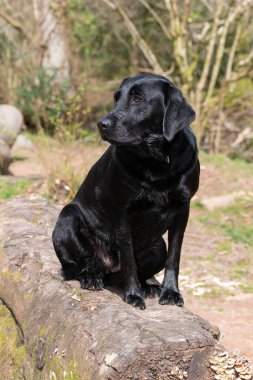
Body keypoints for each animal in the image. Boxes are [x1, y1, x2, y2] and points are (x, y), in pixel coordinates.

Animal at [52, 73, 200, 308]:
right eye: (116, 99)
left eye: (137, 99)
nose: (101, 124)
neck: (156, 161)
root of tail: (108, 269)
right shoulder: (123, 213)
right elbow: (129, 259)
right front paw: (133, 296)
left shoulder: (182, 209)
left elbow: (174, 257)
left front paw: (171, 292)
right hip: (68, 217)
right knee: (77, 266)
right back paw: (91, 277)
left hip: (158, 247)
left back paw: (148, 286)